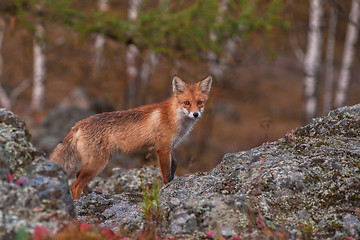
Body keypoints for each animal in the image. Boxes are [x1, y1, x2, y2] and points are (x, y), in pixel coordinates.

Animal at [51, 76, 214, 200]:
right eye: (186, 103)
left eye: (200, 103)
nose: (195, 114)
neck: (173, 116)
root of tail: (78, 124)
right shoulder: (162, 148)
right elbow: (166, 174)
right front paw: (168, 188)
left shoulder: (169, 147)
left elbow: (174, 165)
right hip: (98, 163)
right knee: (75, 185)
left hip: (91, 163)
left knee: (78, 175)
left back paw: (91, 195)